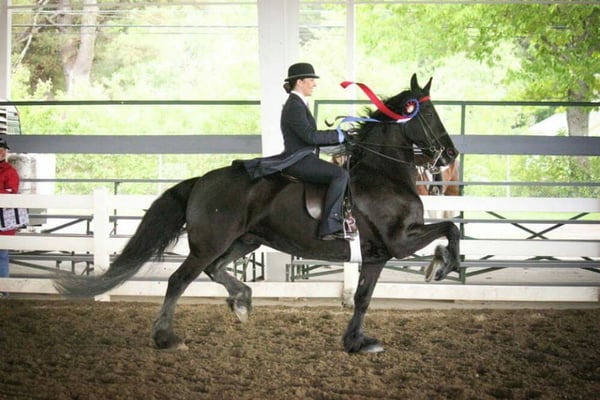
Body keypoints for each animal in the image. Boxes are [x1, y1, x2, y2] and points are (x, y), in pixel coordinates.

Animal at [56, 75, 460, 354]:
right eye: (429, 113)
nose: (451, 154)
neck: (383, 175)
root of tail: (202, 180)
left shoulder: (377, 255)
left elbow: (363, 298)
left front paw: (356, 343)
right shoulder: (399, 241)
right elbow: (450, 228)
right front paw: (441, 266)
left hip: (244, 241)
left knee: (214, 270)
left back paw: (242, 301)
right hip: (210, 243)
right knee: (179, 279)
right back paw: (166, 337)